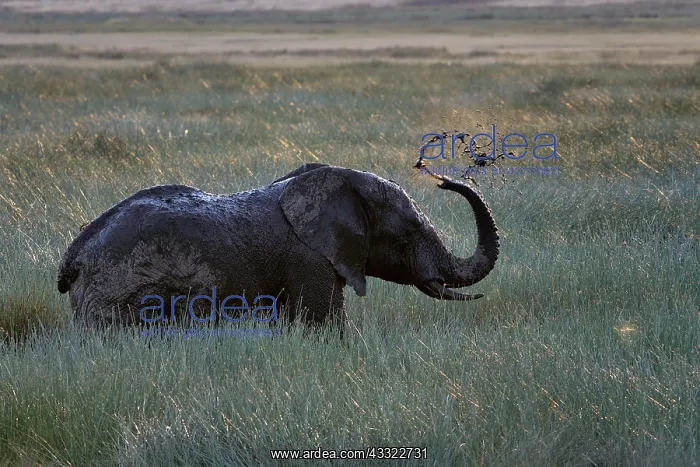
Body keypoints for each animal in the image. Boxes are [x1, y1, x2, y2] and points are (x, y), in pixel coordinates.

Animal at [56, 163, 499, 335]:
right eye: (410, 230)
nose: (442, 179)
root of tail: (73, 257)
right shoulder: (309, 258)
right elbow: (323, 324)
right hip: (120, 291)